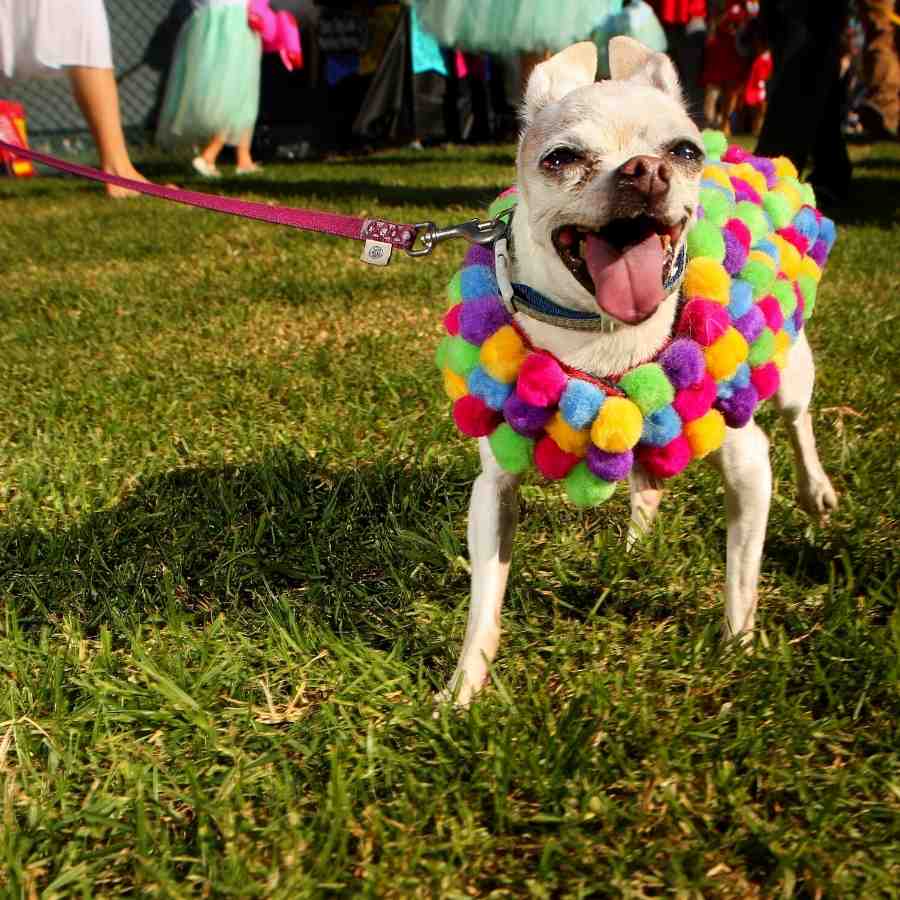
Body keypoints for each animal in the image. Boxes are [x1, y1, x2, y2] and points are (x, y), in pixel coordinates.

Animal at [442, 38, 836, 708]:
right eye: (561, 158)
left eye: (684, 152)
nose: (645, 169)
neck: (606, 333)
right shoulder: (495, 489)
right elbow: (483, 603)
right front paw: (462, 688)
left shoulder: (748, 464)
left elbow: (741, 575)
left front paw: (739, 652)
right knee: (646, 480)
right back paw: (634, 547)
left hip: (788, 375)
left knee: (799, 423)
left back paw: (816, 493)